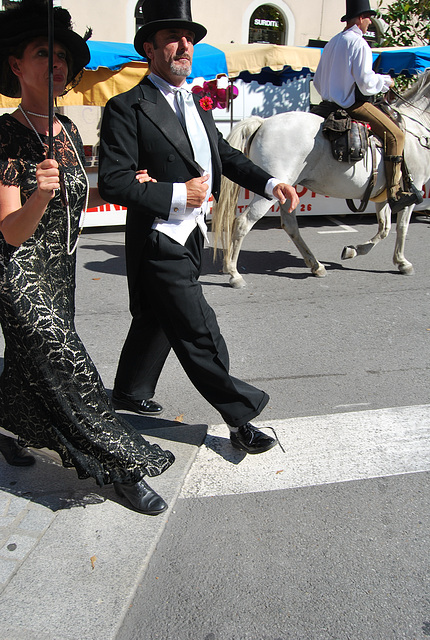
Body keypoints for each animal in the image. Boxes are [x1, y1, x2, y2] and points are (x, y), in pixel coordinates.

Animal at [214, 69, 430, 286]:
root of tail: (264, 123)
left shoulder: (382, 195)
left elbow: (385, 228)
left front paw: (353, 250)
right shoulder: (411, 191)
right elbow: (401, 226)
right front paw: (402, 262)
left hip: (286, 189)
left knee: (290, 225)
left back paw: (316, 265)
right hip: (270, 191)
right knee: (243, 222)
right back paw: (234, 273)